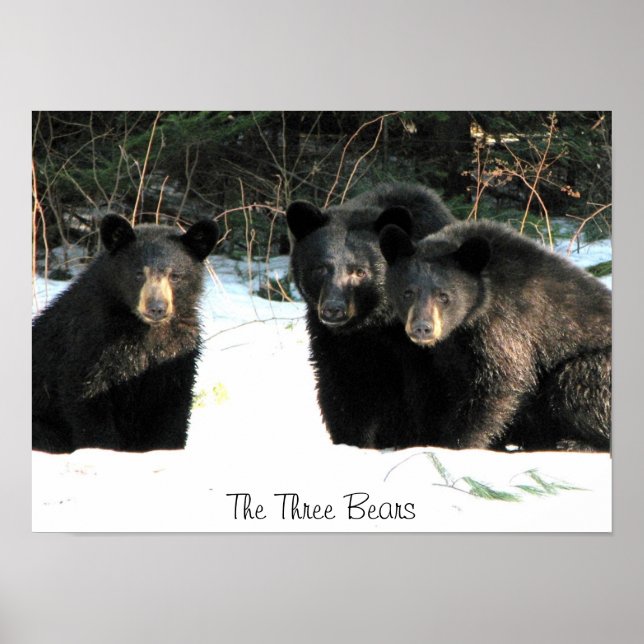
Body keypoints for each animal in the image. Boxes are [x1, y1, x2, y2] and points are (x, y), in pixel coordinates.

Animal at [32, 214, 219, 454]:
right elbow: (88, 400)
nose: (156, 308)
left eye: (175, 276)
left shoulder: (179, 351)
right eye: (138, 274)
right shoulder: (91, 343)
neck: (143, 329)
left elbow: (173, 409)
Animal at [286, 182, 456, 449]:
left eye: (359, 271)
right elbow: (344, 394)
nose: (333, 309)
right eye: (320, 268)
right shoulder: (335, 343)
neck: (376, 323)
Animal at [378, 219, 611, 452]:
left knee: (574, 383)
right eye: (407, 293)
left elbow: (500, 381)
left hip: (597, 371)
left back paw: (575, 443)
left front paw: (457, 444)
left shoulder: (506, 324)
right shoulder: (453, 351)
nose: (422, 327)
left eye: (444, 296)